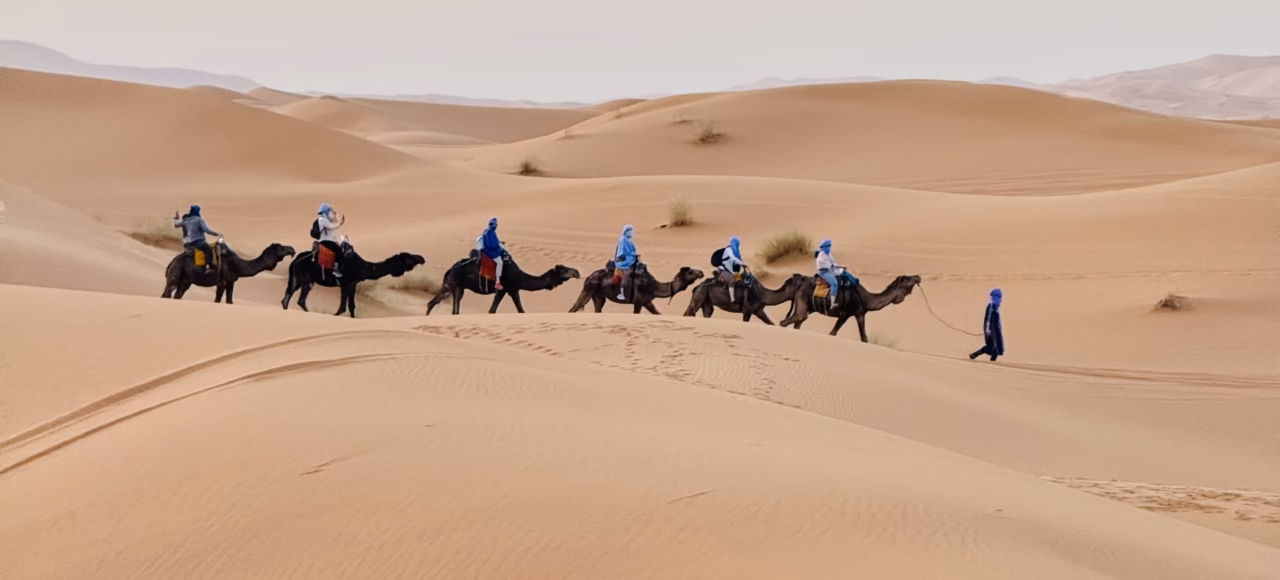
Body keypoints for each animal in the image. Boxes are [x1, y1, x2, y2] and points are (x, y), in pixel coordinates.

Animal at [161, 241, 296, 304]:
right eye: (282, 248)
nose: (292, 249)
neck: (240, 265)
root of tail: (173, 261)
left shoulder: (222, 283)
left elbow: (219, 300)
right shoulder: (229, 280)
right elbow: (229, 301)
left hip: (185, 280)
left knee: (175, 294)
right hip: (176, 275)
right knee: (168, 292)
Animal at [281, 244, 425, 318]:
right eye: (409, 258)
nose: (422, 259)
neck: (363, 267)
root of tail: (295, 261)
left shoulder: (353, 284)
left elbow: (351, 306)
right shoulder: (346, 283)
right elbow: (342, 308)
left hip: (296, 279)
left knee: (287, 298)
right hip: (306, 280)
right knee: (300, 300)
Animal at [426, 252, 580, 315]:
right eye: (564, 270)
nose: (577, 272)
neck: (520, 276)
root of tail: (450, 268)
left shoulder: (506, 290)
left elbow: (495, 310)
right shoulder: (510, 288)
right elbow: (519, 310)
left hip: (459, 286)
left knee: (455, 308)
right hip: (452, 281)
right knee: (433, 302)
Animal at [569, 262, 705, 314]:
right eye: (691, 272)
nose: (701, 272)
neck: (654, 286)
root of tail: (588, 277)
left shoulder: (647, 302)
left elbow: (657, 313)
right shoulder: (638, 301)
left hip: (599, 296)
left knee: (597, 308)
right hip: (588, 289)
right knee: (575, 306)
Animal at [780, 274, 921, 341]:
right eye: (907, 278)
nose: (918, 277)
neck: (866, 298)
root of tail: (799, 288)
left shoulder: (860, 314)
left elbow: (864, 337)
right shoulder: (845, 313)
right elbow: (833, 333)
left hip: (806, 306)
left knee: (798, 321)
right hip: (803, 301)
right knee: (790, 320)